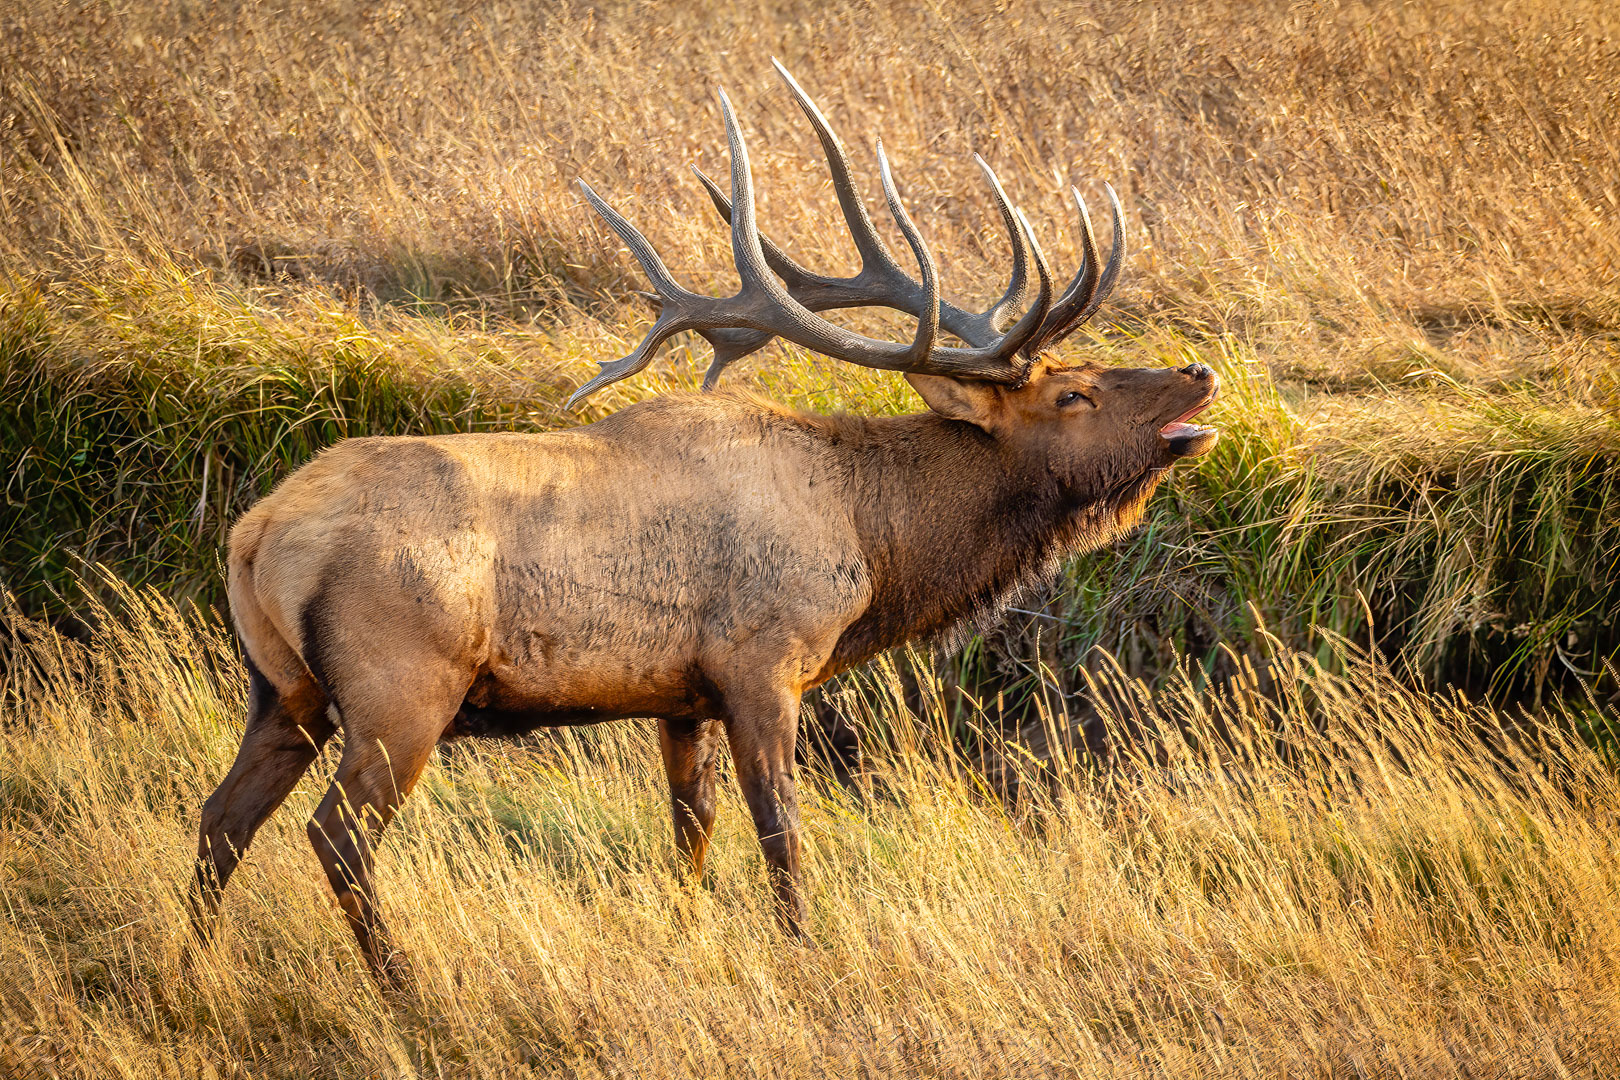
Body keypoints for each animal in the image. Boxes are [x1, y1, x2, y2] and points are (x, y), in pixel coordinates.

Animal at [189, 63, 1218, 984]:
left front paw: (688, 930)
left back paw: (196, 967)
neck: (873, 541)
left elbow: (692, 828)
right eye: (1074, 394)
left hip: (281, 691)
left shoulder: (680, 695)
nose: (1199, 371)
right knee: (337, 835)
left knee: (221, 818)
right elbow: (781, 831)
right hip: (400, 686)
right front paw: (805, 952)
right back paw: (401, 980)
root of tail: (254, 534)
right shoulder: (762, 662)